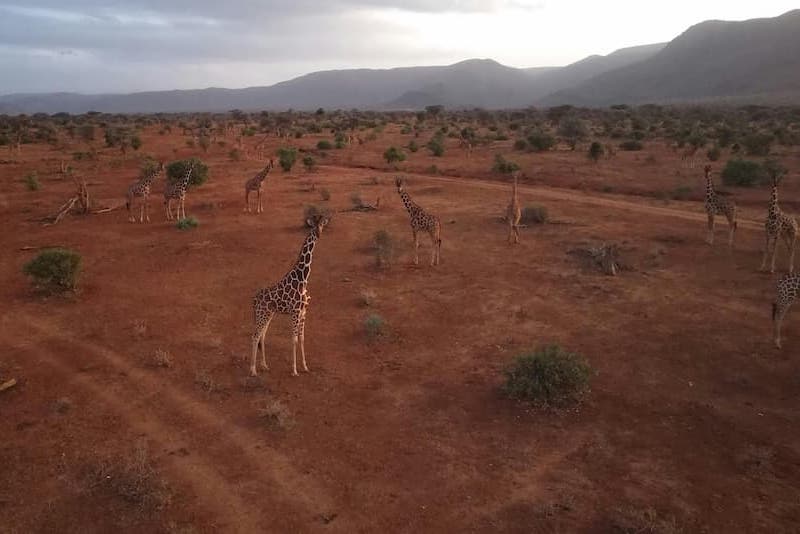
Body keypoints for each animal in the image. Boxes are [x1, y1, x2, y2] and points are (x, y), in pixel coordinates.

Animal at [250, 214, 331, 377]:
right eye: (313, 226)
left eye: (322, 225)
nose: (319, 235)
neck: (303, 278)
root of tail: (255, 300)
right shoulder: (295, 312)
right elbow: (293, 339)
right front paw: (294, 370)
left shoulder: (303, 311)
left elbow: (302, 338)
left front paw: (305, 366)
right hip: (262, 314)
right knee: (255, 336)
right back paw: (253, 369)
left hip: (268, 314)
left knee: (262, 336)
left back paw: (265, 365)